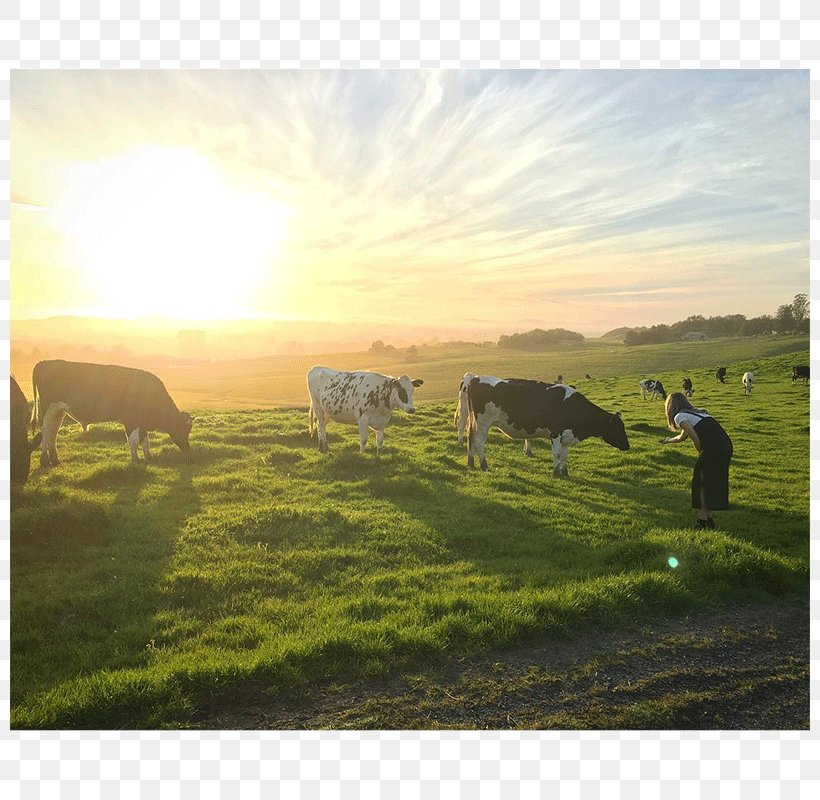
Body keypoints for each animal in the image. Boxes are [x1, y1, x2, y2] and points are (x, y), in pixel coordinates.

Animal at [30, 360, 194, 466]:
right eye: (183, 428)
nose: (187, 448)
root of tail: (43, 362)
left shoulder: (141, 423)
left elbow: (145, 442)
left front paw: (149, 458)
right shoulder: (131, 421)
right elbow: (133, 441)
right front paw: (135, 461)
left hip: (59, 411)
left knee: (53, 432)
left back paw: (55, 460)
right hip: (49, 409)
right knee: (46, 432)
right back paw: (44, 460)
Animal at [464, 376, 632, 476]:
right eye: (618, 428)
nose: (627, 446)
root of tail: (476, 378)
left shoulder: (567, 435)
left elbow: (564, 455)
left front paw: (565, 472)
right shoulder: (556, 433)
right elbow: (556, 453)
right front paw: (556, 473)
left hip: (474, 422)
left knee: (471, 439)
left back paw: (471, 464)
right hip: (483, 423)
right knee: (479, 442)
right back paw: (484, 465)